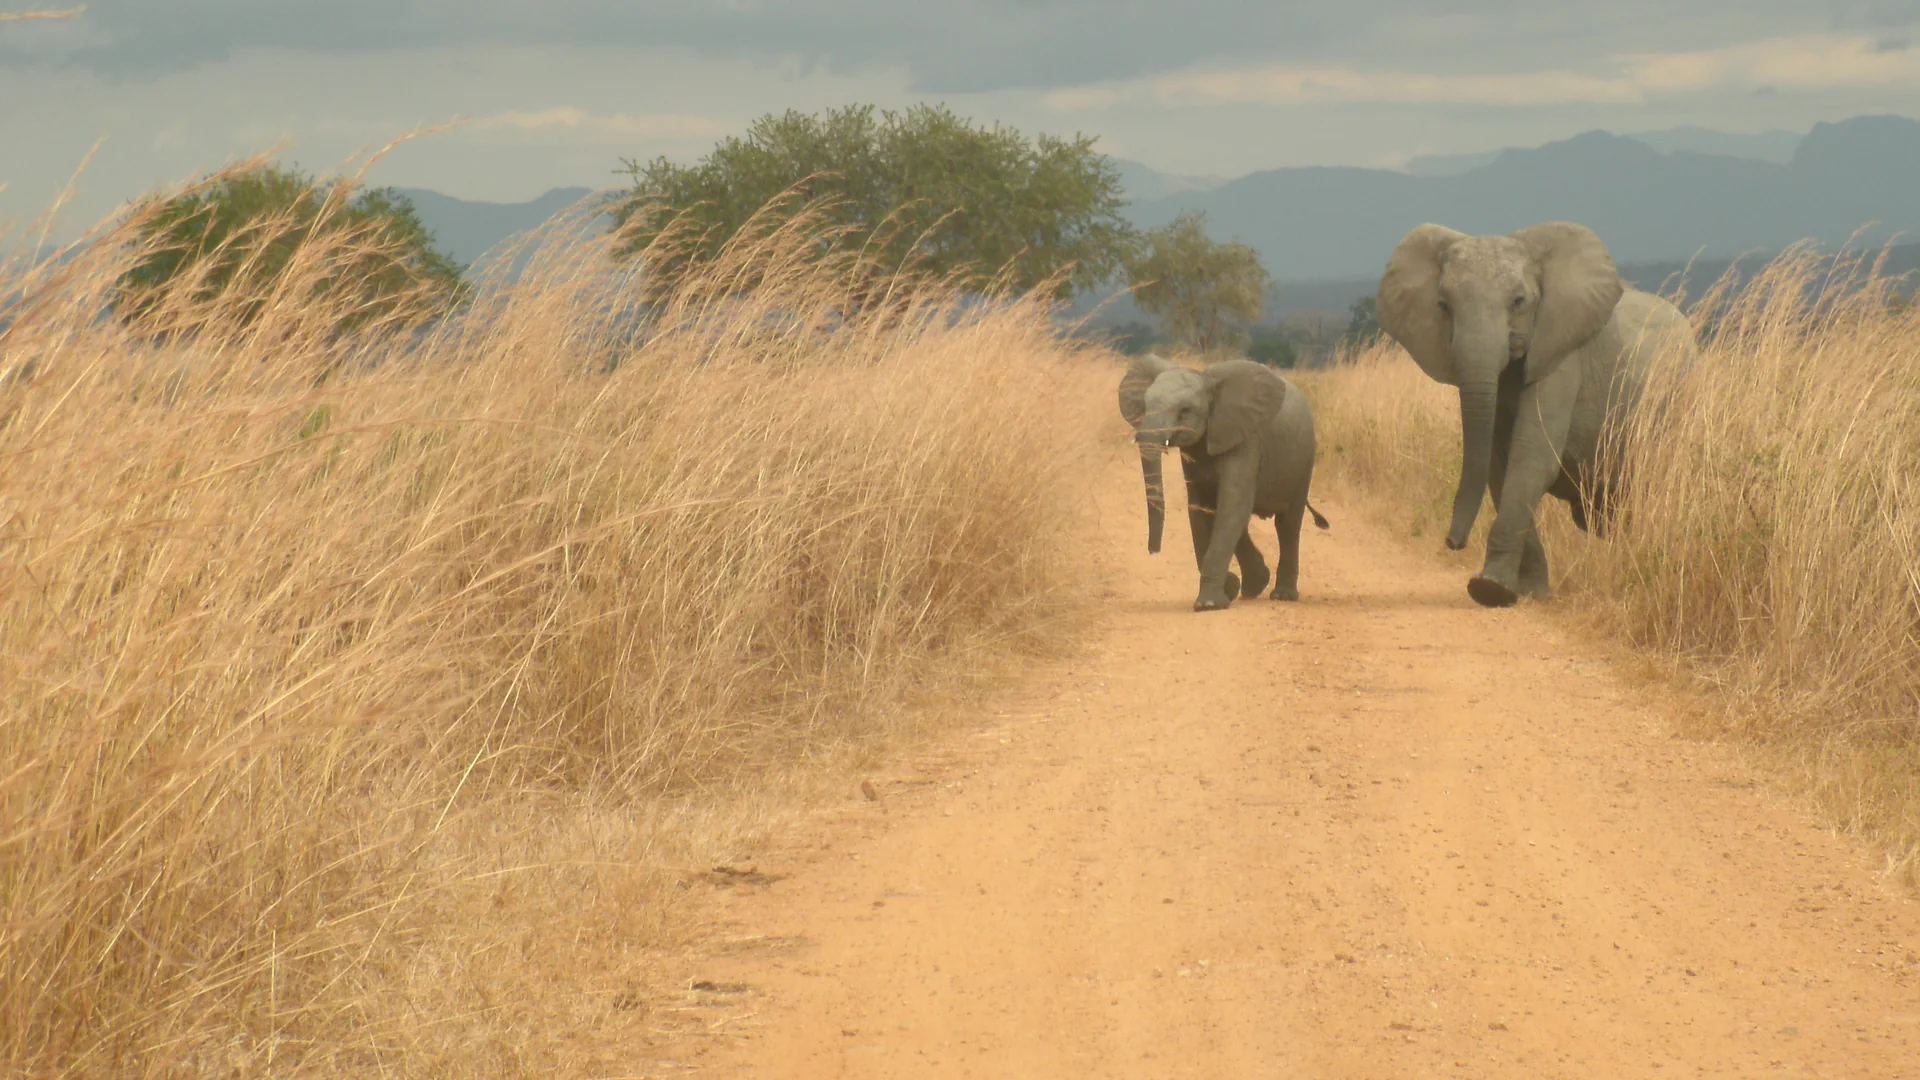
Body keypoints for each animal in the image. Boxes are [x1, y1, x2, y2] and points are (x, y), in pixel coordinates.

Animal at [1118, 354, 1329, 611]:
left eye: (1185, 410)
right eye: (1145, 405)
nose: (1153, 551)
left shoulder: (1245, 441)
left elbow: (1231, 506)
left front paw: (1209, 604)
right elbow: (1201, 509)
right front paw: (1229, 589)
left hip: (1303, 461)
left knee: (1288, 524)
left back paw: (1282, 596)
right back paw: (1253, 587)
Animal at [1376, 221, 1697, 608]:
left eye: (1519, 302)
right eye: (1443, 306)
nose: (1452, 542)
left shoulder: (1562, 354)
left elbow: (1530, 458)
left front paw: (1488, 589)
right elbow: (1500, 466)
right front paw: (1525, 593)